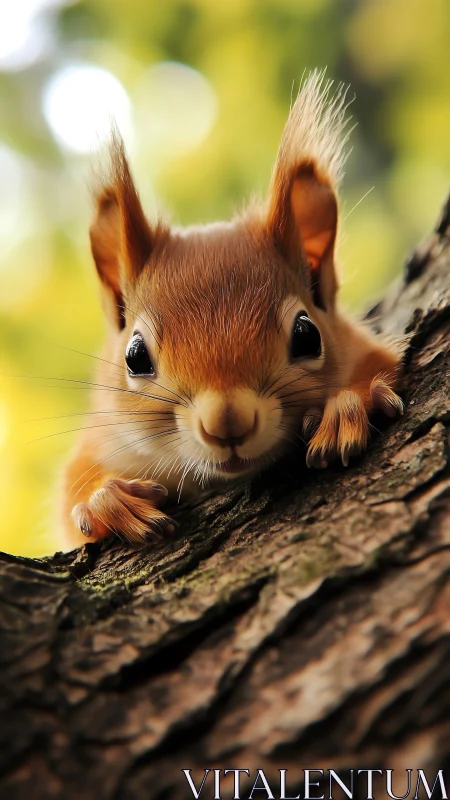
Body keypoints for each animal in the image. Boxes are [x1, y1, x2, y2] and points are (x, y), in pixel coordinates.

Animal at [60, 70, 404, 550]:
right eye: (135, 356)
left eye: (307, 335)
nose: (227, 421)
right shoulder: (100, 441)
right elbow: (73, 491)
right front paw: (106, 500)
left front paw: (346, 407)